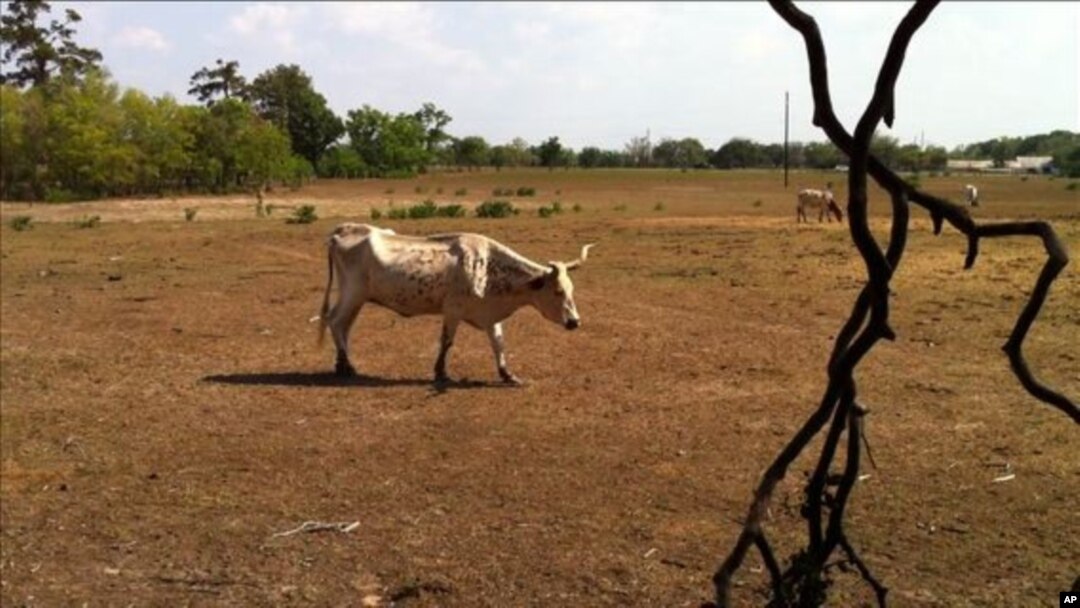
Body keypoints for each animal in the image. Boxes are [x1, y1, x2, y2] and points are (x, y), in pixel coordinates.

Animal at [315, 223, 596, 384]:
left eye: (571, 289)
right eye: (558, 291)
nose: (575, 322)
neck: (488, 267)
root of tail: (343, 230)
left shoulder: (489, 316)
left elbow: (498, 344)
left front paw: (507, 375)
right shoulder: (452, 311)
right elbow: (447, 342)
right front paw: (441, 372)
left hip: (356, 299)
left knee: (343, 326)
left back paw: (342, 364)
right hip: (353, 294)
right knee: (335, 321)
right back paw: (347, 365)